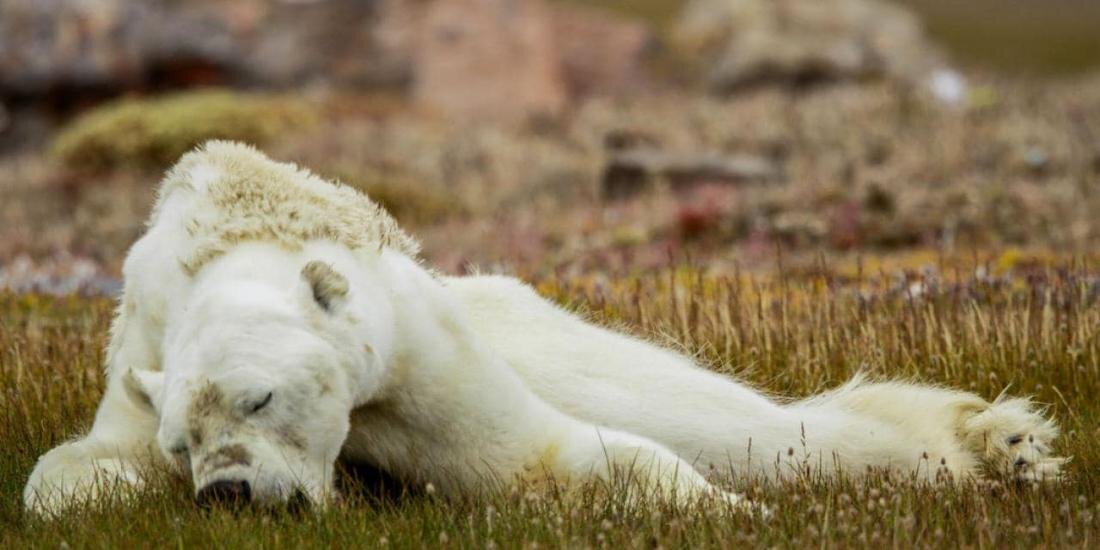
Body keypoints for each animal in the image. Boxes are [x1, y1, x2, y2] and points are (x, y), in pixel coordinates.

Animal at [23, 141, 1056, 514]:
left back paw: (997, 443)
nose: (229, 492)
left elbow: (542, 454)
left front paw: (735, 514)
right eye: (181, 442)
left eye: (260, 396)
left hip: (516, 321)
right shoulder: (141, 353)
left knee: (738, 425)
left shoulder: (416, 363)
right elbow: (66, 479)